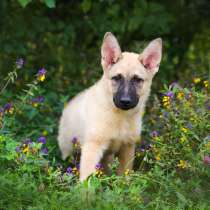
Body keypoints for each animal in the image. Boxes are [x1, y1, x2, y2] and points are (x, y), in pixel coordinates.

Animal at [57, 32, 162, 180]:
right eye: (116, 78)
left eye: (137, 80)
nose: (125, 101)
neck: (120, 116)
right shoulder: (93, 147)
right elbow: (86, 179)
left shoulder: (127, 148)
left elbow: (124, 176)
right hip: (69, 150)